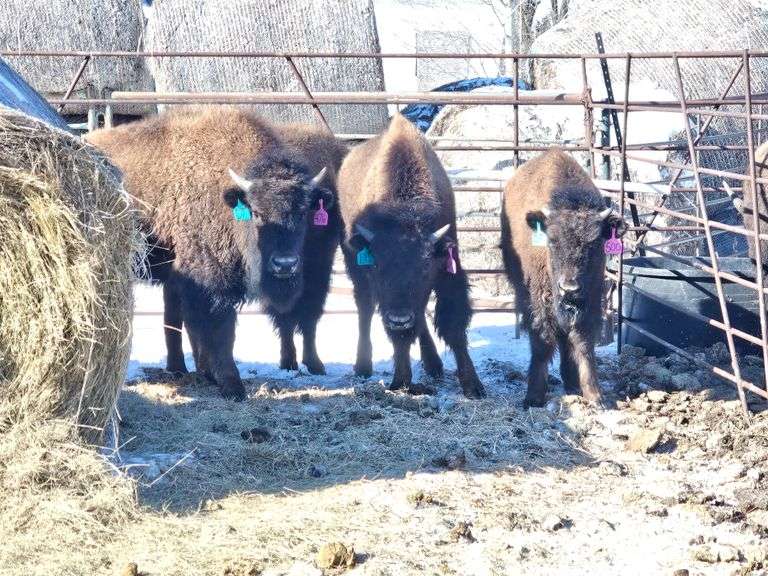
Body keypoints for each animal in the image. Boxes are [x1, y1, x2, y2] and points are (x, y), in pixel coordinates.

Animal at [86, 107, 344, 400]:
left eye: (302, 213)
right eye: (257, 213)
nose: (285, 264)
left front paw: (210, 374)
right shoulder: (209, 279)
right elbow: (220, 330)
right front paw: (232, 385)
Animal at [336, 114, 485, 398]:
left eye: (425, 267)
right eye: (378, 266)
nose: (400, 319)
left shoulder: (448, 267)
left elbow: (453, 324)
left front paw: (473, 386)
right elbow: (398, 336)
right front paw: (401, 381)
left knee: (420, 316)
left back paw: (433, 364)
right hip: (354, 266)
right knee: (365, 308)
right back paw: (363, 365)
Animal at [500, 149, 626, 408]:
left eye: (594, 244)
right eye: (552, 241)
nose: (569, 287)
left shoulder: (590, 299)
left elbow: (583, 342)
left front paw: (595, 395)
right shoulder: (539, 299)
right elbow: (542, 341)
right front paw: (533, 396)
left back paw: (571, 382)